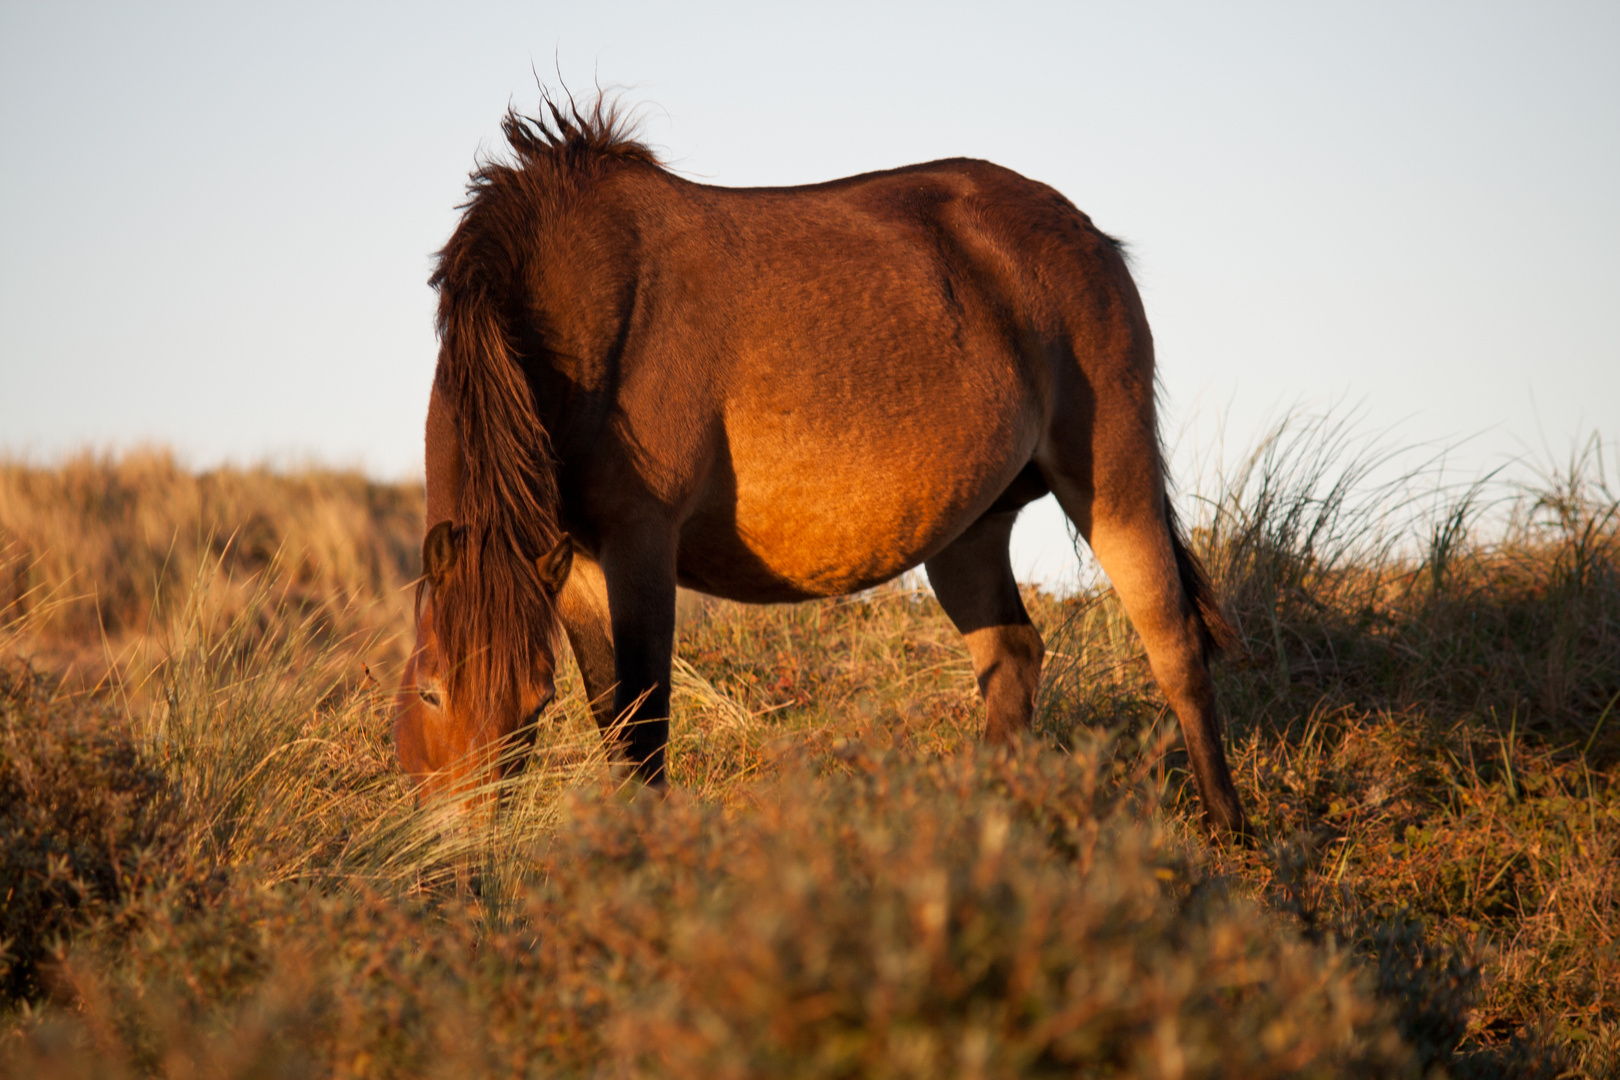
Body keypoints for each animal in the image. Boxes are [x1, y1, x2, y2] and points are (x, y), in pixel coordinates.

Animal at [395, 101, 1250, 841]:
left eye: (532, 702)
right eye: (431, 689)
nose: (456, 851)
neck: (581, 316)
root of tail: (1087, 235)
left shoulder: (639, 544)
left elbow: (645, 722)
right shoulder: (573, 564)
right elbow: (615, 715)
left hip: (1112, 482)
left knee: (1174, 647)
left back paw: (1231, 836)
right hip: (971, 531)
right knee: (1011, 659)